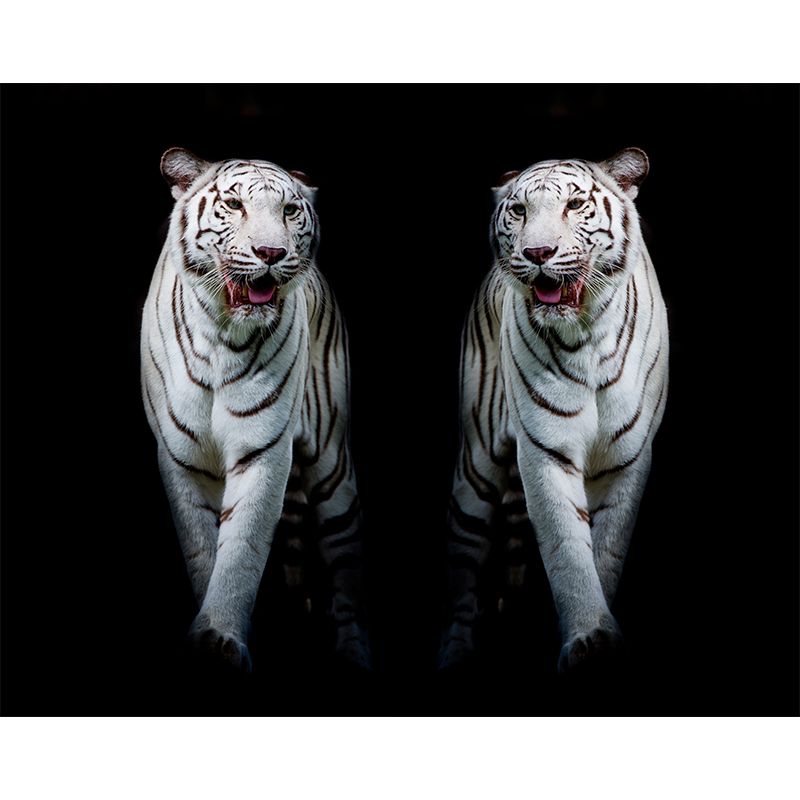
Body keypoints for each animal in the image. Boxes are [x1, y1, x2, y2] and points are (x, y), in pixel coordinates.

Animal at [141, 148, 369, 671]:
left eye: (289, 211)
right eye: (233, 205)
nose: (270, 253)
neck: (221, 335)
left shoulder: (263, 449)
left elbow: (242, 547)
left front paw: (221, 637)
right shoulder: (181, 457)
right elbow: (203, 549)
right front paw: (210, 637)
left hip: (332, 466)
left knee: (346, 561)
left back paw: (353, 651)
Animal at [439, 148, 668, 673]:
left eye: (575, 204)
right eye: (519, 211)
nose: (538, 253)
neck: (587, 335)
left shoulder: (627, 457)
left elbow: (606, 549)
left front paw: (600, 638)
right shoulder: (546, 449)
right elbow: (566, 547)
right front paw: (588, 637)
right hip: (476, 465)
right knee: (462, 564)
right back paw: (456, 652)